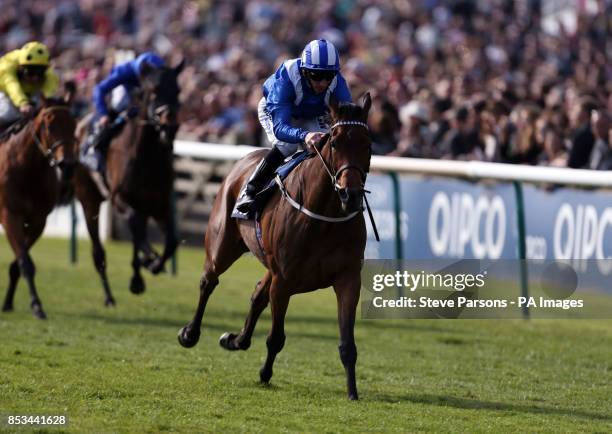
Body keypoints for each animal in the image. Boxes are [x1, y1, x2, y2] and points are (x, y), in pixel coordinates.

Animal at [0, 96, 80, 318]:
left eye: (74, 124)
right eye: (49, 125)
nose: (67, 165)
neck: (28, 170)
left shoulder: (39, 221)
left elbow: (19, 263)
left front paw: (9, 303)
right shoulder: (10, 216)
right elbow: (25, 263)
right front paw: (36, 304)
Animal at [74, 60, 184, 298]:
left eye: (178, 91)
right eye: (154, 90)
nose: (170, 126)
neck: (147, 157)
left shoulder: (160, 204)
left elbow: (171, 241)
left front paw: (154, 263)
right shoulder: (120, 199)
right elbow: (136, 226)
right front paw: (138, 277)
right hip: (89, 199)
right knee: (100, 250)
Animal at [177, 93, 372, 398]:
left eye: (367, 144)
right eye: (335, 142)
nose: (350, 195)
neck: (324, 217)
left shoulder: (347, 278)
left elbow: (347, 344)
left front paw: (352, 391)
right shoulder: (284, 281)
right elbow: (276, 337)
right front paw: (265, 373)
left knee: (258, 294)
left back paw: (236, 340)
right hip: (223, 245)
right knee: (209, 281)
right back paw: (190, 333)